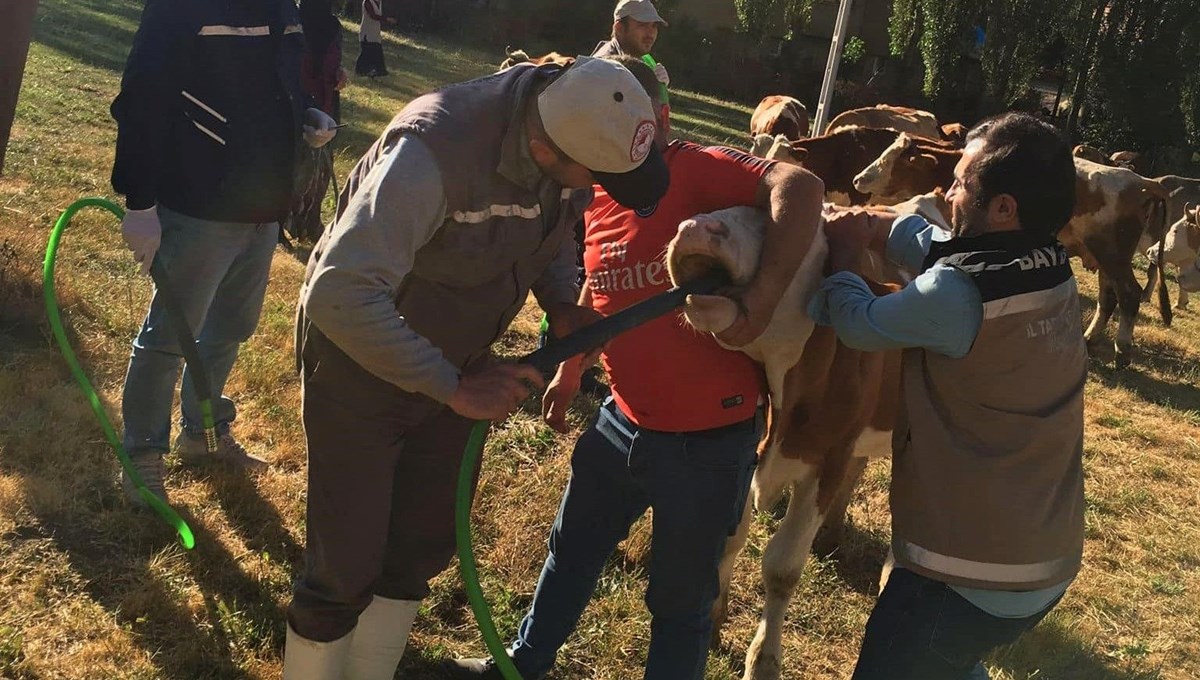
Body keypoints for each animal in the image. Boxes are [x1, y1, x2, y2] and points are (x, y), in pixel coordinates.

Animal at [667, 207, 902, 680]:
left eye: (780, 228)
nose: (695, 227)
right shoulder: (746, 452)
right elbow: (730, 537)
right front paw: (714, 617)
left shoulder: (827, 462)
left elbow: (783, 569)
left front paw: (764, 661)